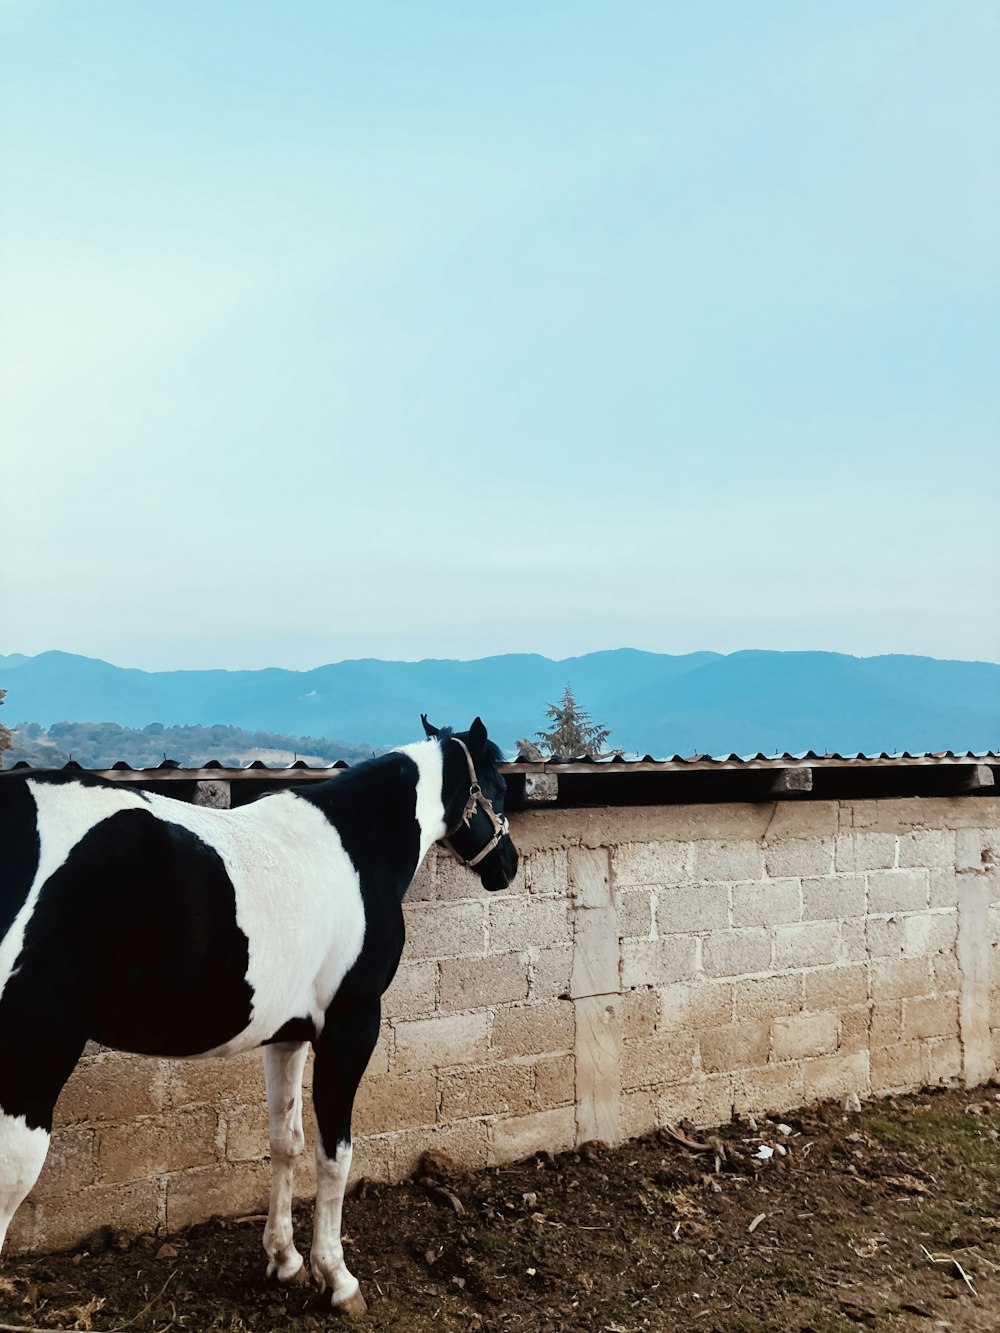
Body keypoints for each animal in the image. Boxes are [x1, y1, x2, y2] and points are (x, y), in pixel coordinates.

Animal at [0, 719, 517, 1311]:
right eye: (499, 787)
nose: (509, 865)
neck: (356, 848)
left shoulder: (287, 1035)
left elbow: (284, 1142)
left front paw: (284, 1260)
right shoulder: (352, 1025)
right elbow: (334, 1152)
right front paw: (336, 1278)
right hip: (33, 1061)